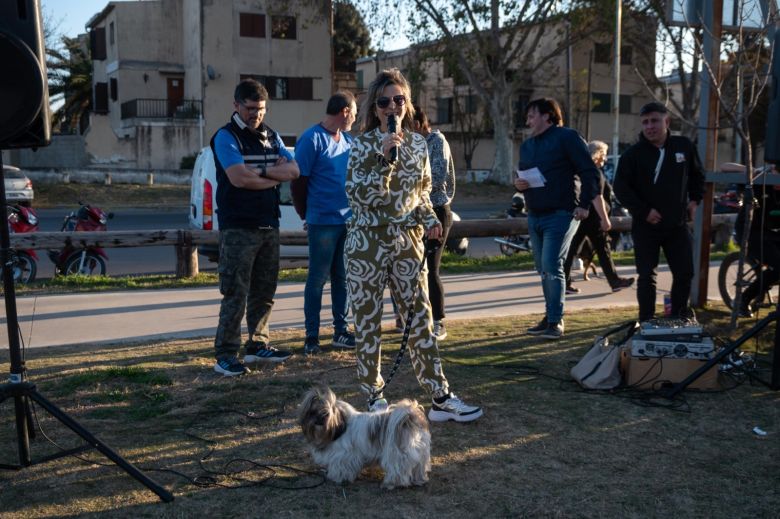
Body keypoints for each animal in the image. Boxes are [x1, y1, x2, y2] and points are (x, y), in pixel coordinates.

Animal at [298, 388, 432, 490]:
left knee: (397, 470)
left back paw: (390, 484)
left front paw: (338, 478)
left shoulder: (343, 455)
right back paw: (419, 480)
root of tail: (409, 418)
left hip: (396, 454)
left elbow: (341, 467)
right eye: (312, 412)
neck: (340, 427)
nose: (318, 421)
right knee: (418, 468)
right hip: (421, 454)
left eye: (326, 414)